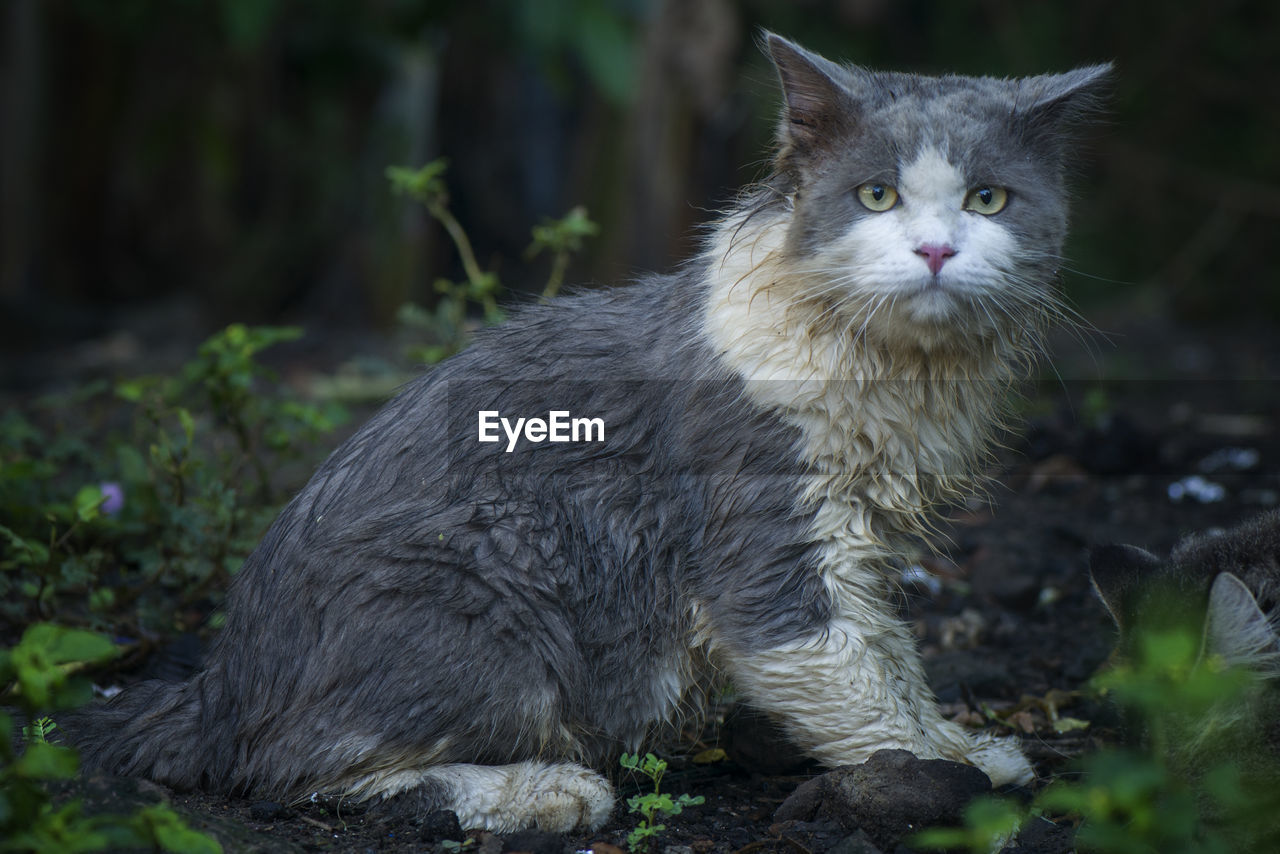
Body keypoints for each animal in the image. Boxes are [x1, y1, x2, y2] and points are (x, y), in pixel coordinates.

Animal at [70, 36, 1111, 829]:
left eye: (988, 200)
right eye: (876, 198)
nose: (936, 250)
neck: (901, 379)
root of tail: (216, 682)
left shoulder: (863, 543)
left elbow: (891, 656)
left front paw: (960, 743)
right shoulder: (767, 542)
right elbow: (848, 681)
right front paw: (942, 779)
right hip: (483, 580)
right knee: (294, 770)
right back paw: (548, 792)